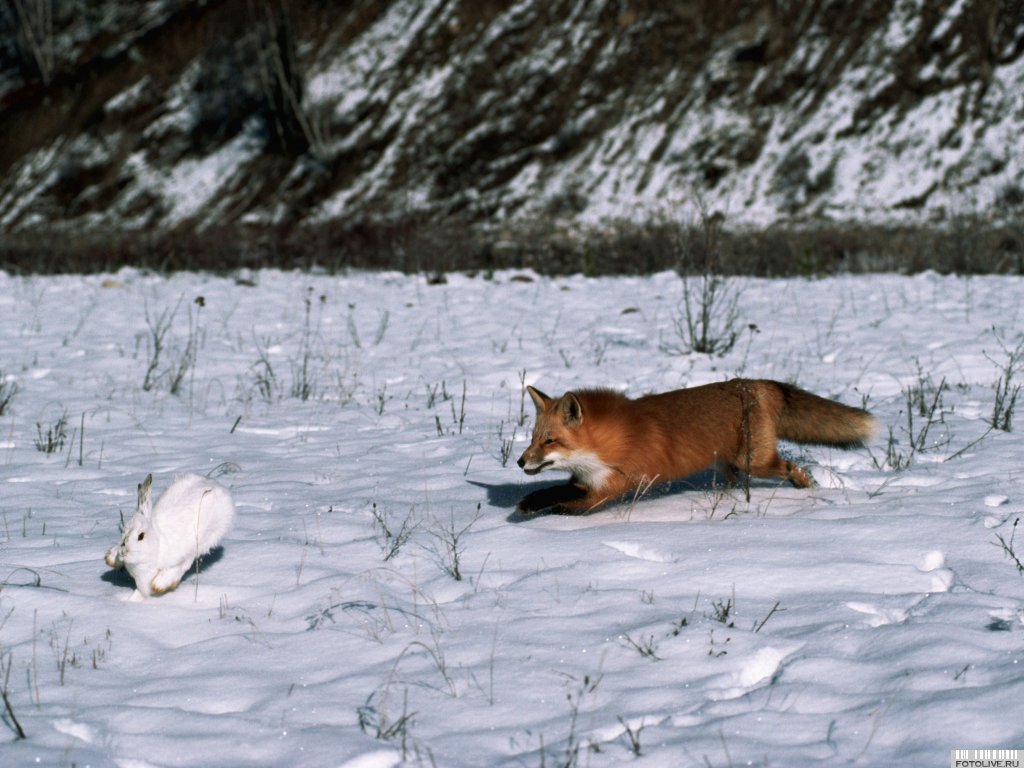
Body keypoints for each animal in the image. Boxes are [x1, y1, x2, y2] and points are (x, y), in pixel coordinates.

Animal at [516, 380, 876, 518]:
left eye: (549, 441)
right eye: (532, 438)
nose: (519, 462)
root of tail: (753, 383)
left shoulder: (607, 488)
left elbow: (569, 504)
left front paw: (542, 512)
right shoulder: (586, 480)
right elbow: (550, 491)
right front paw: (529, 503)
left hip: (753, 462)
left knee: (790, 467)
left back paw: (808, 486)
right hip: (729, 464)